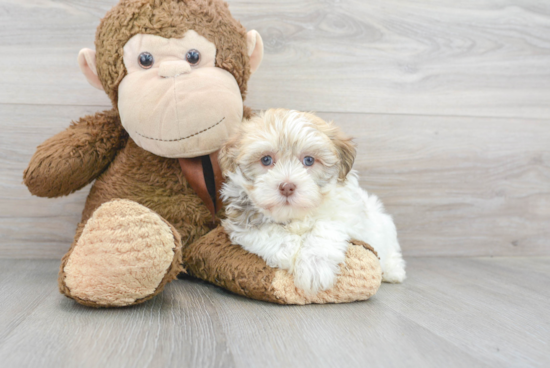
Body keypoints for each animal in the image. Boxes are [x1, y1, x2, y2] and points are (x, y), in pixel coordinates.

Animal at [219, 108, 406, 294]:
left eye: (309, 160)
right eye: (266, 159)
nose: (287, 187)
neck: (295, 215)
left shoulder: (344, 212)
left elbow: (324, 228)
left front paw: (315, 268)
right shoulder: (242, 220)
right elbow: (270, 234)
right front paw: (292, 254)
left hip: (383, 224)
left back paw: (393, 271)